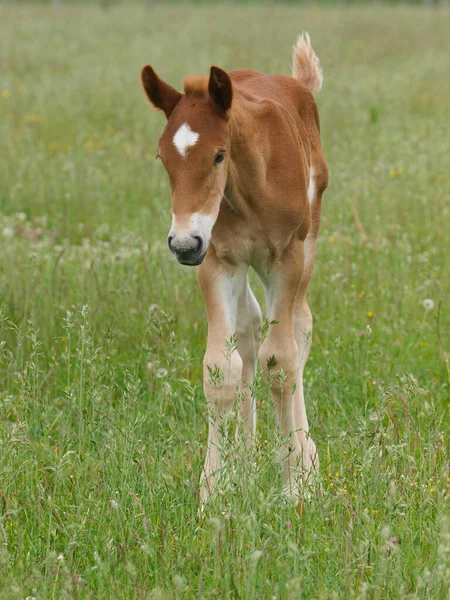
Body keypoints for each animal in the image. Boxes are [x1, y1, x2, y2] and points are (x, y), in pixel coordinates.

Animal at [142, 34, 328, 502]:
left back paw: (307, 458)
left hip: (308, 242)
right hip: (242, 262)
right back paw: (244, 462)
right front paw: (214, 489)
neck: (249, 185)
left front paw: (295, 484)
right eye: (162, 158)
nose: (182, 243)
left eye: (219, 155)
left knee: (300, 327)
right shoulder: (217, 260)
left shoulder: (286, 258)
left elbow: (281, 361)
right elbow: (218, 369)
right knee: (248, 331)